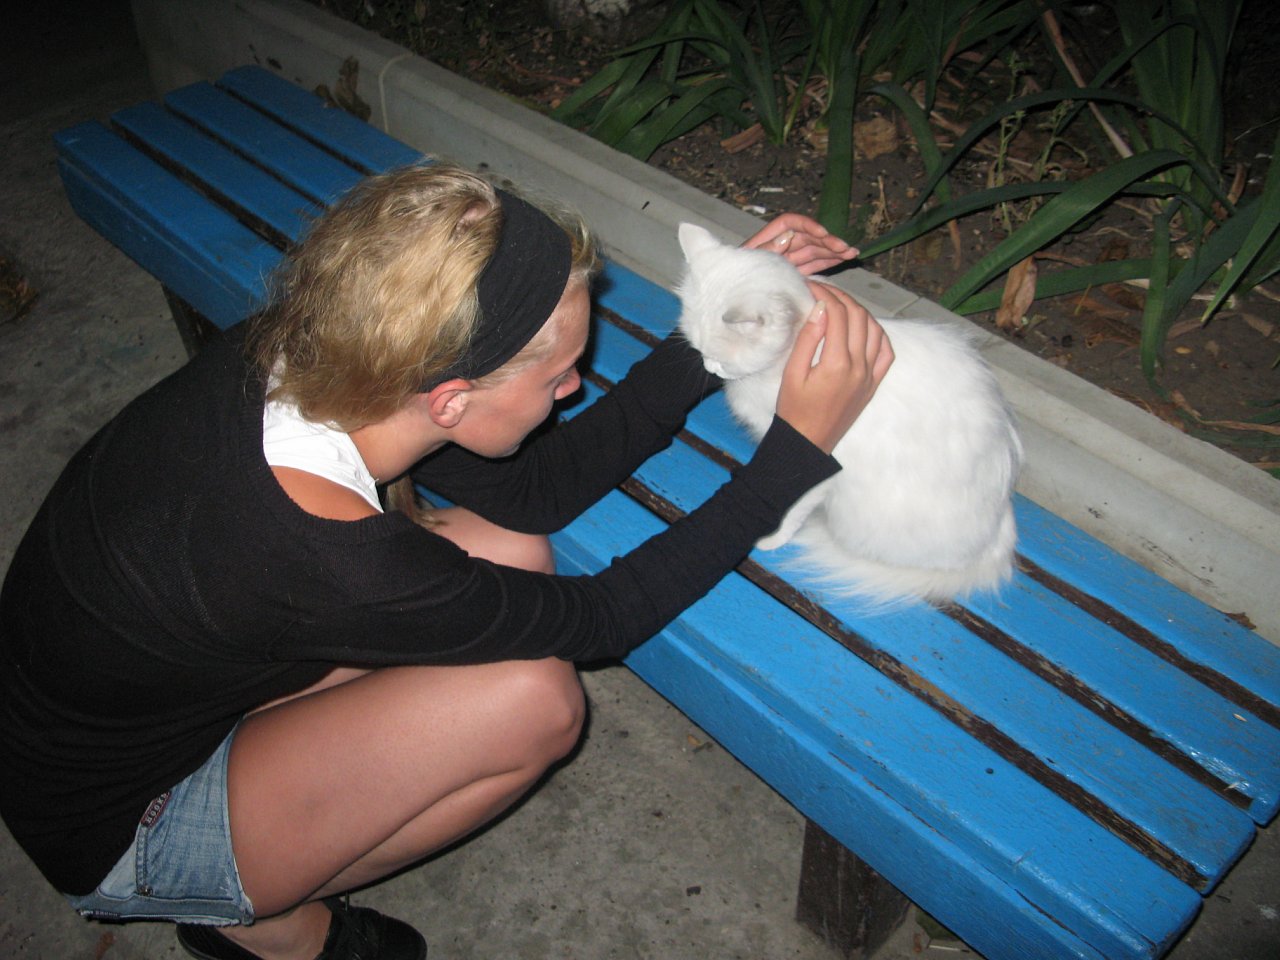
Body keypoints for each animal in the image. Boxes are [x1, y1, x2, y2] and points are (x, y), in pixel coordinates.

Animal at [675, 222, 1024, 606]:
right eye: (699, 350)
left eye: (720, 358)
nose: (709, 368)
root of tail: (998, 530)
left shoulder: (823, 470)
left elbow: (793, 509)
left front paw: (773, 537)